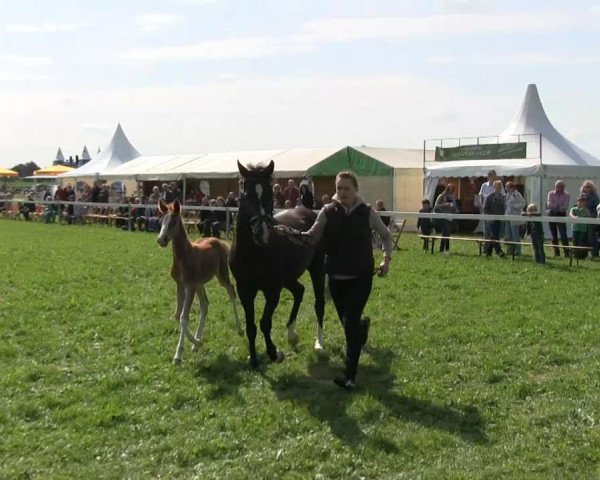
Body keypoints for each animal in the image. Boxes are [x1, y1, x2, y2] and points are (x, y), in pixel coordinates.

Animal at [157, 200, 241, 364]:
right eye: (161, 221)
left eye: (173, 222)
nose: (161, 240)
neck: (183, 257)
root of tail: (216, 240)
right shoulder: (180, 285)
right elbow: (177, 315)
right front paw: (196, 343)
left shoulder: (190, 286)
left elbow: (183, 317)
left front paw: (178, 354)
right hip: (200, 284)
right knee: (205, 305)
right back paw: (197, 341)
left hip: (221, 276)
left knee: (231, 291)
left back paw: (240, 328)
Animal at [229, 160, 324, 368]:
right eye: (246, 194)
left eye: (271, 194)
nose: (261, 233)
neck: (253, 255)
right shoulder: (245, 290)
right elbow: (251, 326)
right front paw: (254, 359)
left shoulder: (273, 291)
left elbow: (265, 322)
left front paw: (274, 352)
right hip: (289, 278)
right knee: (299, 291)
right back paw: (292, 335)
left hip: (317, 268)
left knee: (319, 303)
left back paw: (319, 343)